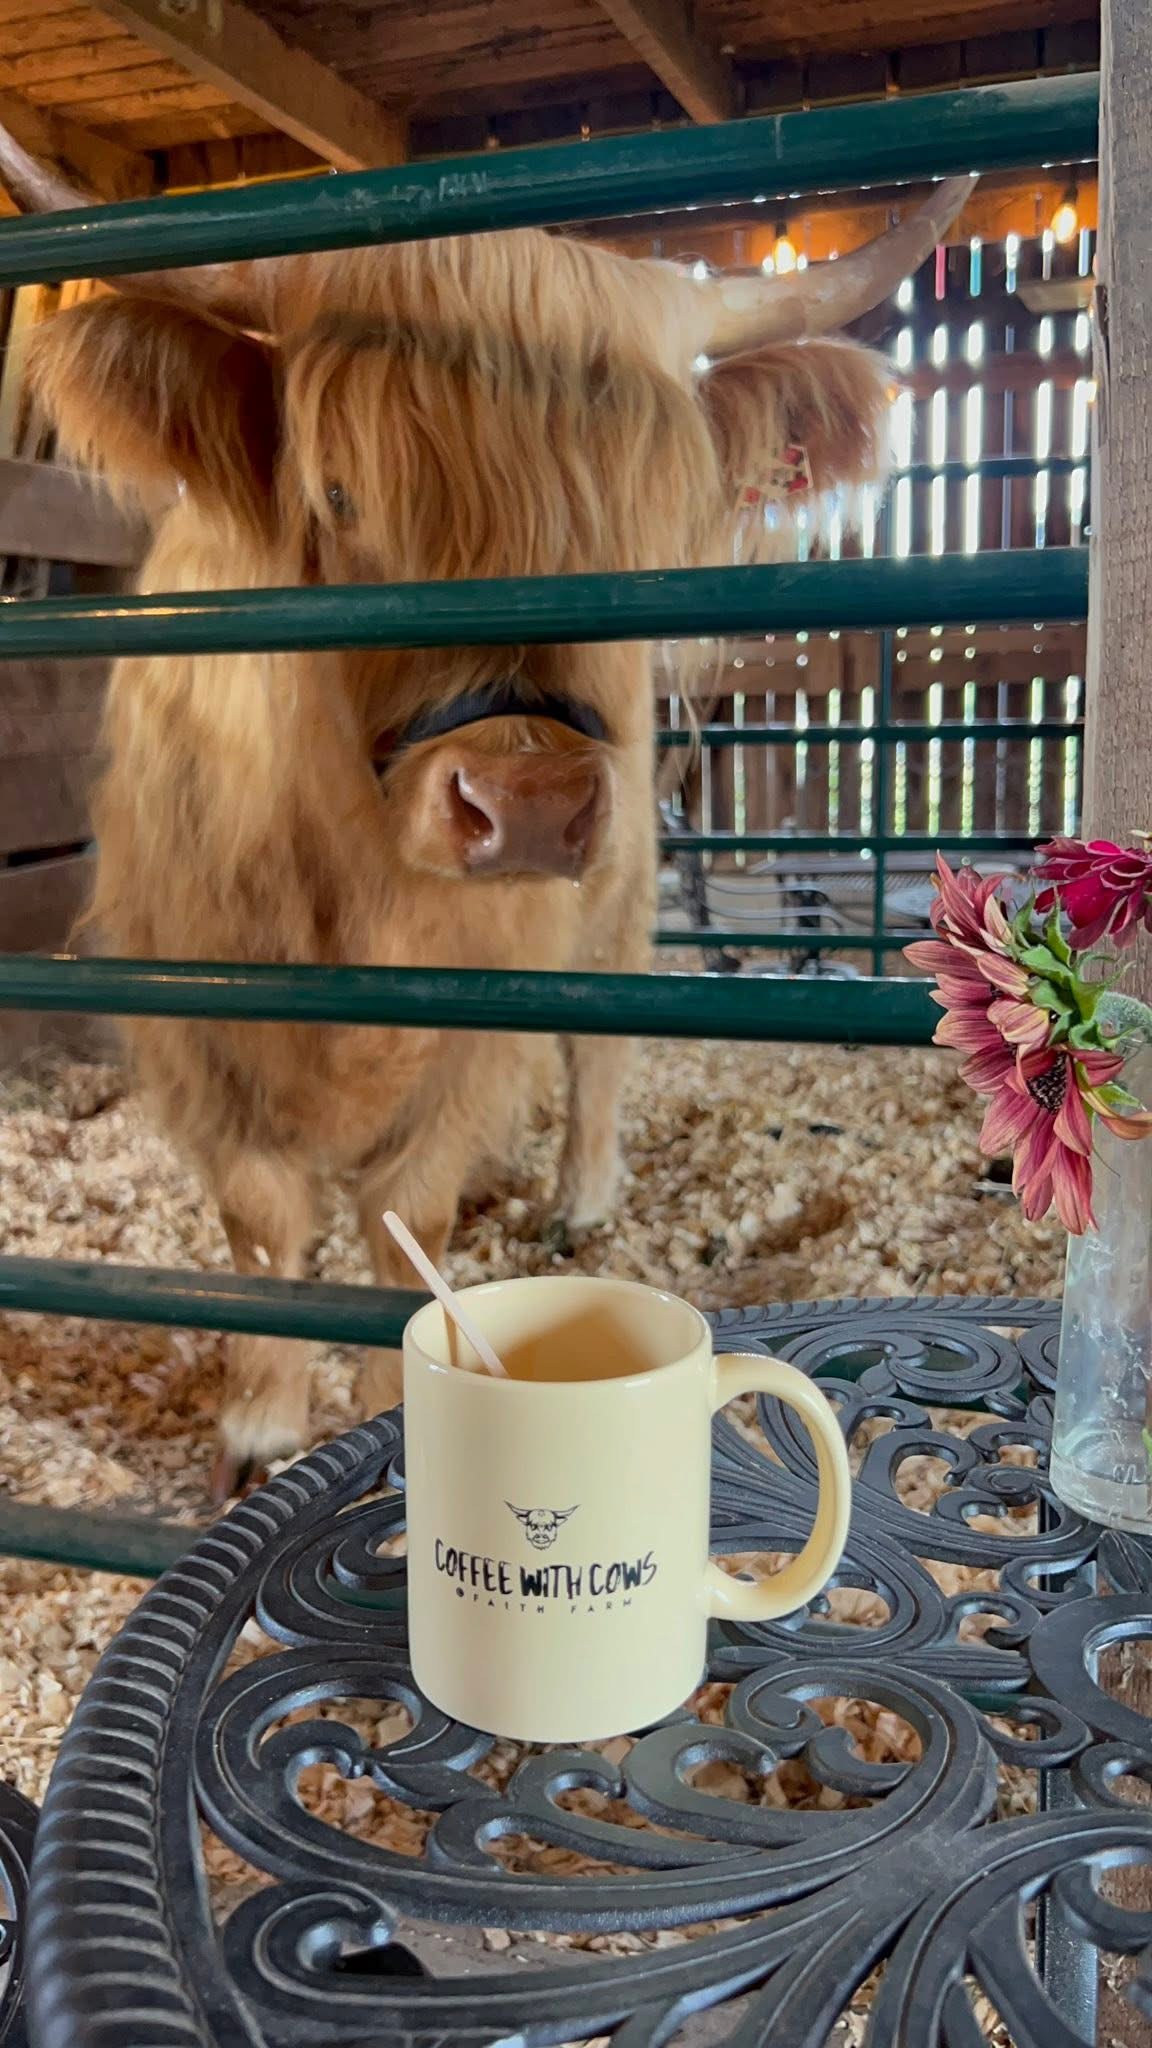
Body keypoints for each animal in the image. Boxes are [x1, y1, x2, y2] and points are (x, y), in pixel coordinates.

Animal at [0, 127, 972, 1495]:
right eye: (339, 494)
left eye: (647, 539)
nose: (529, 803)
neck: (345, 896)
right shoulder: (186, 1009)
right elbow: (263, 1215)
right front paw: (259, 1425)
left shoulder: (481, 1016)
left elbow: (407, 1203)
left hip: (620, 892)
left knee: (601, 1045)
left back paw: (582, 1191)